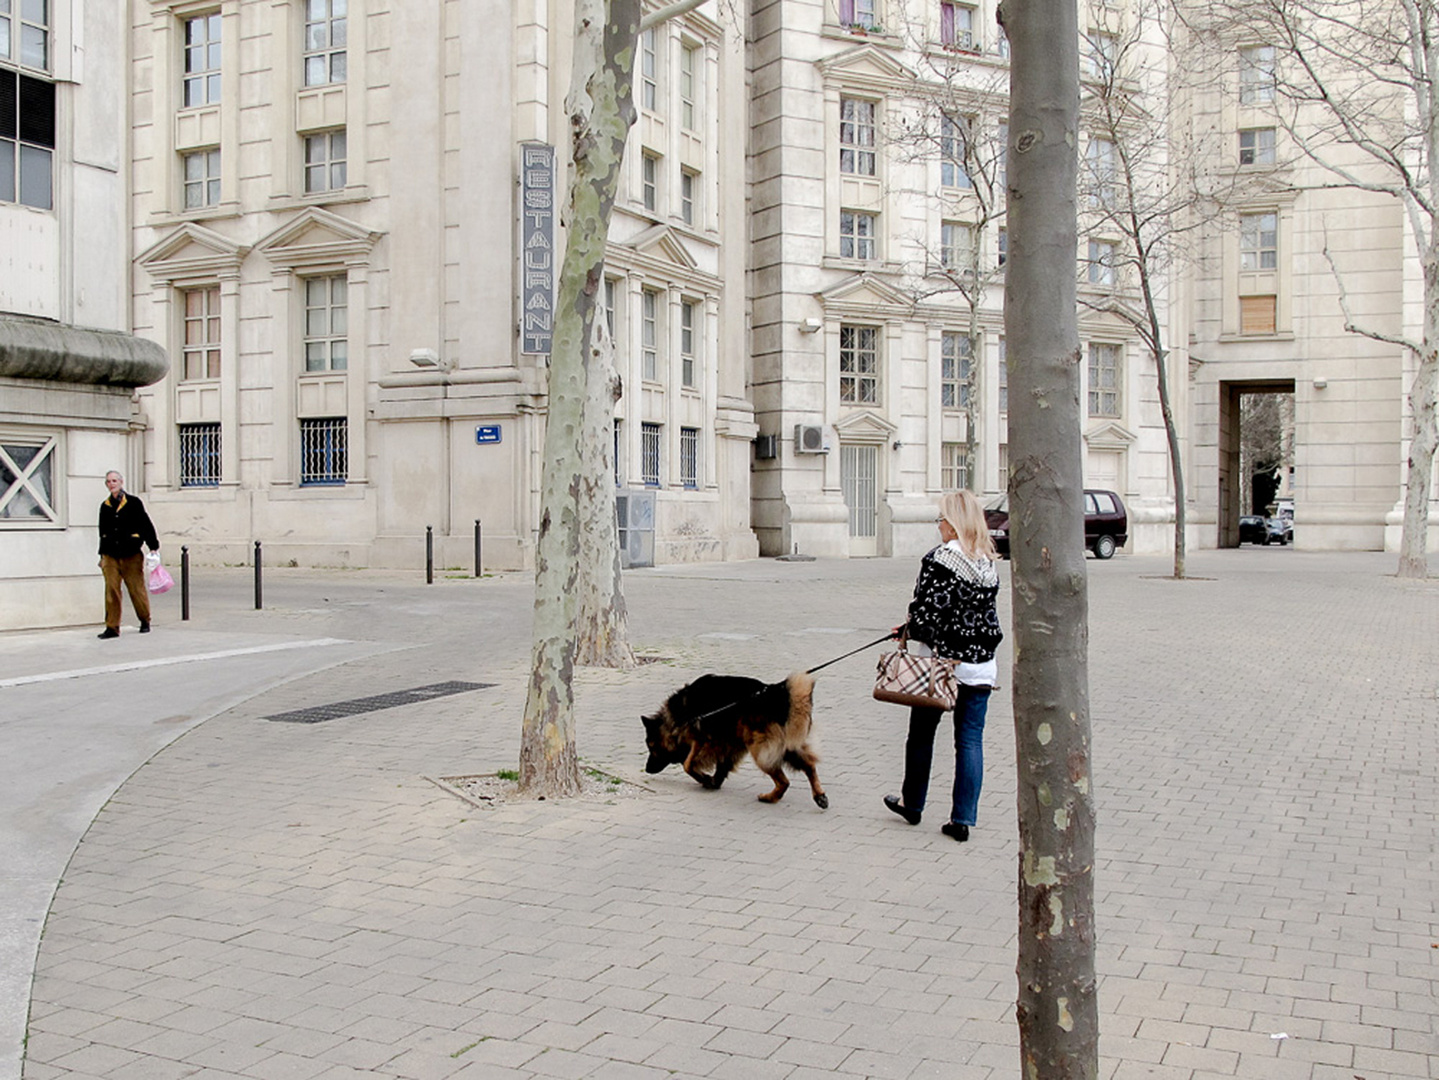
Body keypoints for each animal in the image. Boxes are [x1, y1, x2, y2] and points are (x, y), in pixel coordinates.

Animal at [644, 673, 834, 805]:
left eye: (652, 747)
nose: (646, 769)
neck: (677, 719)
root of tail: (775, 699)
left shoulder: (703, 740)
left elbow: (688, 764)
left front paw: (704, 778)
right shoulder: (727, 744)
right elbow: (721, 766)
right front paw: (714, 782)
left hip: (761, 751)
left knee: (784, 781)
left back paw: (769, 798)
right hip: (787, 746)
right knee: (809, 766)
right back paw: (818, 795)